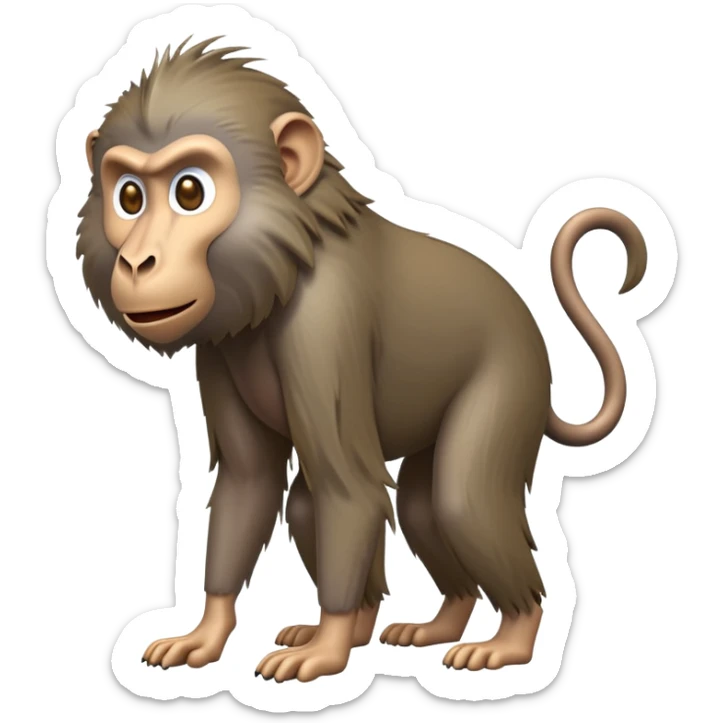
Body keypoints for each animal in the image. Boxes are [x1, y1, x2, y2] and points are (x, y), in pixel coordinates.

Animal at [76, 38, 647, 683]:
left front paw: (325, 652)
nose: (137, 261)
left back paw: (509, 639)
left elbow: (346, 487)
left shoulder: (323, 323)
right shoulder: (218, 348)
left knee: (457, 498)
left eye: (190, 192)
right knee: (387, 508)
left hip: (511, 380)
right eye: (129, 196)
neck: (286, 260)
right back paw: (419, 623)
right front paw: (208, 630)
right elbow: (251, 482)